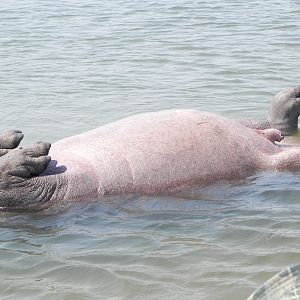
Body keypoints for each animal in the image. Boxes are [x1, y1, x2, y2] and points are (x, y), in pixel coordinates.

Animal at [0, 105, 298, 211]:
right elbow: (13, 181)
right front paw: (23, 150)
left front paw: (13, 140)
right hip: (264, 159)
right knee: (284, 154)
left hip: (252, 134)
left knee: (270, 128)